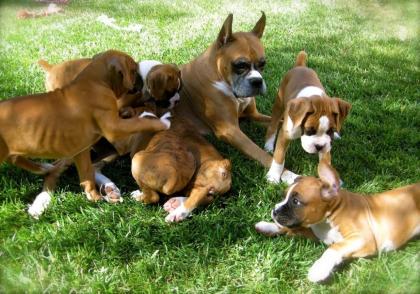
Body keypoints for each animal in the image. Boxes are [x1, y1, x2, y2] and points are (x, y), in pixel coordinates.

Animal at [1, 49, 171, 218]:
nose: (143, 84)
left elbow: (87, 176)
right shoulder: (114, 127)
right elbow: (140, 122)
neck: (94, 81)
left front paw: (95, 197)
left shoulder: (82, 150)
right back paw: (41, 198)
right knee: (53, 170)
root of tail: (52, 67)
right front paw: (162, 121)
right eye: (133, 70)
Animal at [174, 12, 272, 168]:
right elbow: (260, 153)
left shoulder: (254, 116)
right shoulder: (229, 130)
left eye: (263, 64)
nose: (257, 81)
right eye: (240, 65)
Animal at [254, 161, 420, 282]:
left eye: (296, 202)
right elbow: (293, 228)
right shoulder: (316, 233)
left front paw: (318, 269)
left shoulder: (363, 238)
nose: (275, 211)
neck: (328, 219)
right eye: (284, 196)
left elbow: (334, 248)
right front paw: (268, 226)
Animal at [266, 50, 352, 184]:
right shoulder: (285, 135)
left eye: (330, 131)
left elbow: (326, 161)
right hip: (279, 104)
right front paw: (273, 176)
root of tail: (301, 66)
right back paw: (268, 145)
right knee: (273, 125)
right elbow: (279, 157)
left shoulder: (327, 144)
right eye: (309, 130)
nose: (319, 147)